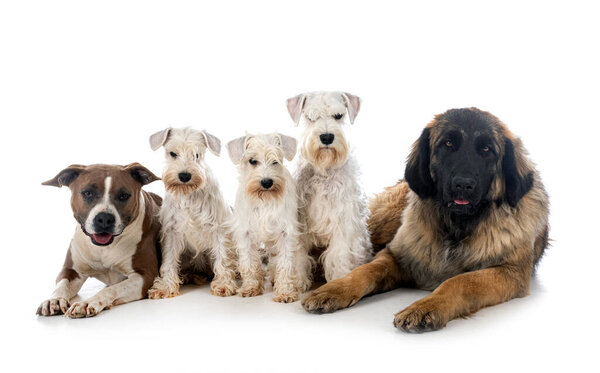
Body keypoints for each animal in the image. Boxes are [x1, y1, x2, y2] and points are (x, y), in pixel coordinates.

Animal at [38, 163, 164, 316]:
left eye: (123, 196)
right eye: (87, 193)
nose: (104, 218)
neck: (104, 249)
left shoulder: (145, 275)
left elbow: (113, 288)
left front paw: (87, 302)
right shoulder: (71, 270)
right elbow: (62, 285)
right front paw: (54, 300)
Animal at [302, 107, 552, 332]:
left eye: (487, 149)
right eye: (448, 144)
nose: (463, 184)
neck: (455, 227)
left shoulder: (509, 272)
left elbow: (460, 282)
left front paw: (426, 307)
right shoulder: (397, 255)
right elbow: (366, 270)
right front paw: (335, 289)